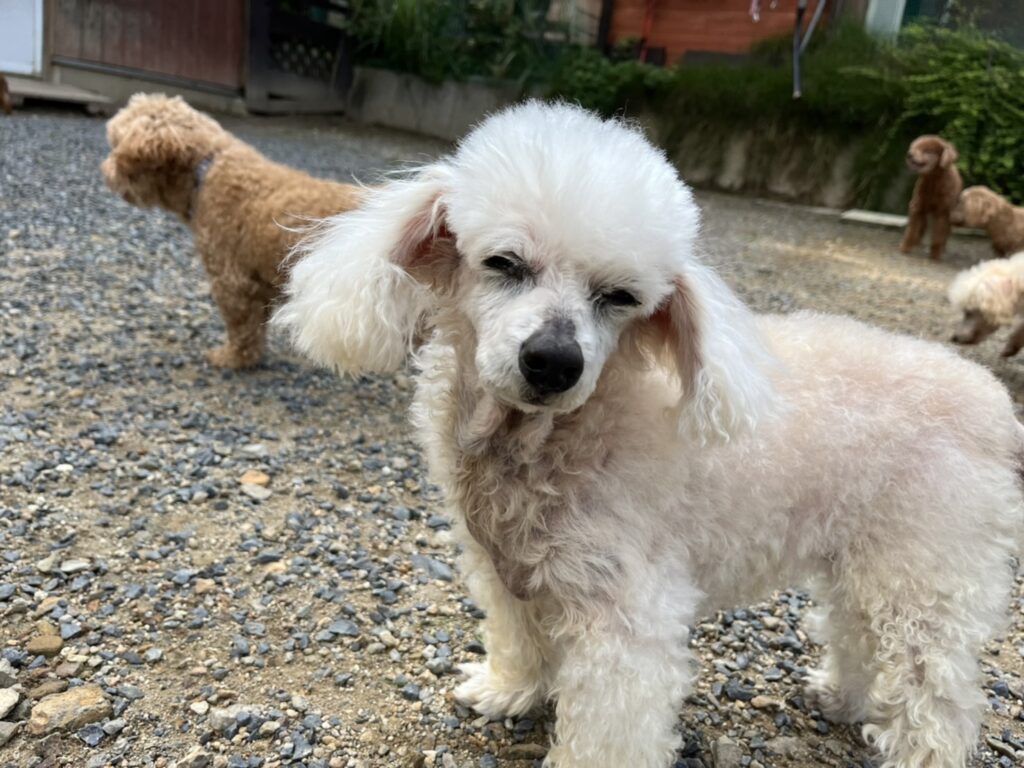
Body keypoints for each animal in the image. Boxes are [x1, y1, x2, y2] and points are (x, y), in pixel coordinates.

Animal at [102, 93, 364, 368]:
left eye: (114, 144)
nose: (104, 170)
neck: (206, 171)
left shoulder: (231, 281)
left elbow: (241, 328)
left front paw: (232, 358)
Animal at [275, 102, 1024, 768]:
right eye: (504, 263)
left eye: (621, 298)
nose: (554, 362)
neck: (542, 445)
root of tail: (992, 402)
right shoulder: (505, 569)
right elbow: (520, 640)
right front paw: (510, 690)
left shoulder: (628, 616)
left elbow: (610, 730)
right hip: (865, 561)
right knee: (857, 632)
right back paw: (843, 697)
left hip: (926, 583)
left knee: (939, 701)